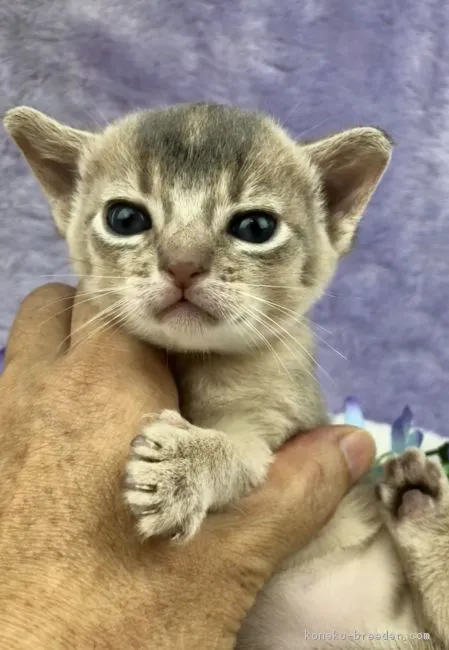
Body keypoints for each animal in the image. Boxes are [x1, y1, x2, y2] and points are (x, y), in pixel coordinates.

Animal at [4, 104, 448, 644]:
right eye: (125, 219)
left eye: (255, 227)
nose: (182, 265)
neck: (194, 359)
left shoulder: (275, 422)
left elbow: (239, 451)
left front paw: (180, 468)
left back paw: (423, 505)